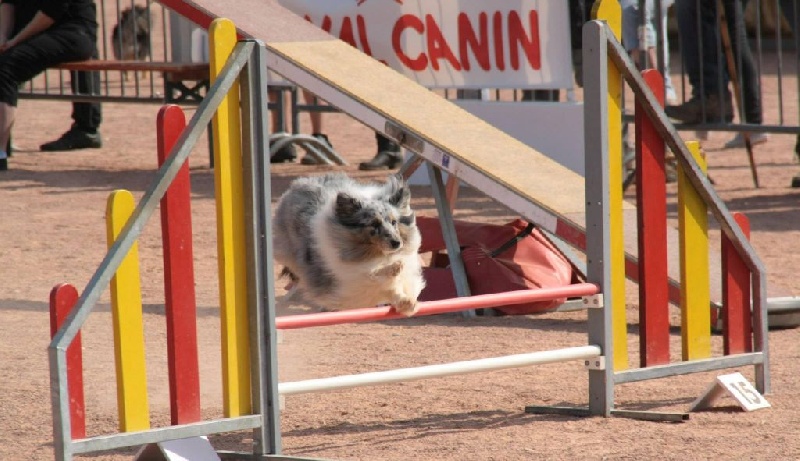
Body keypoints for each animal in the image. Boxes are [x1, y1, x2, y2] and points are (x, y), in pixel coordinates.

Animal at [272, 172, 424, 316]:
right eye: (374, 224)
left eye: (394, 222)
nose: (396, 243)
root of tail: (298, 183)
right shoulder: (350, 277)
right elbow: (370, 274)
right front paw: (394, 267)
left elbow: (392, 288)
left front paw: (407, 303)